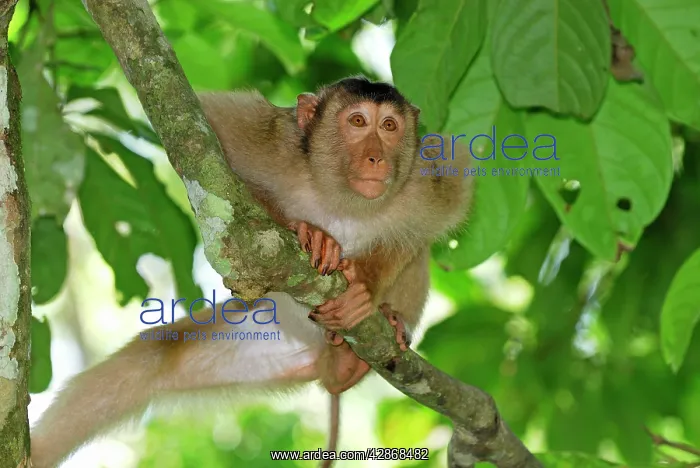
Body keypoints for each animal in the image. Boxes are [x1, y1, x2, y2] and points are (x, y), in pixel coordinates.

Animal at [29, 77, 474, 468]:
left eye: (390, 126)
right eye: (358, 122)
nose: (376, 157)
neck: (341, 199)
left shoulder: (424, 181)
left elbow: (430, 224)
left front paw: (365, 284)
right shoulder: (273, 141)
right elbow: (199, 146)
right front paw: (309, 232)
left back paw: (366, 342)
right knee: (151, 358)